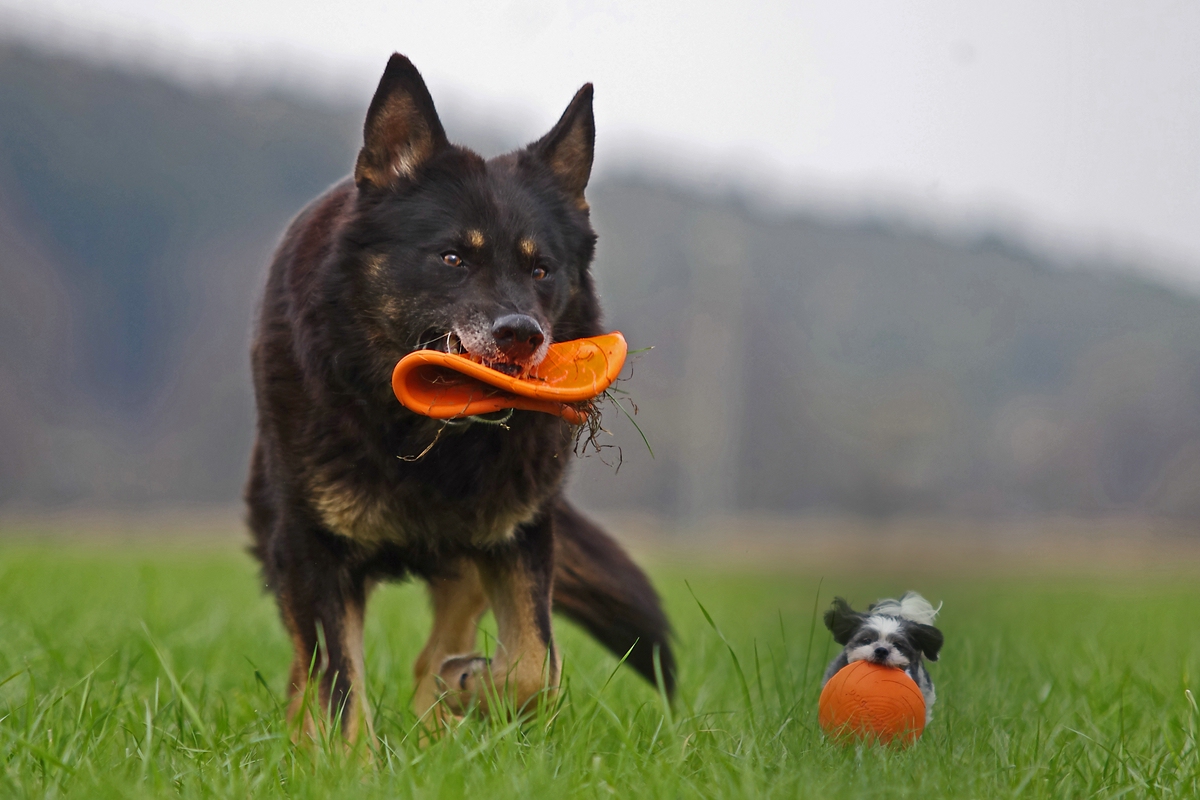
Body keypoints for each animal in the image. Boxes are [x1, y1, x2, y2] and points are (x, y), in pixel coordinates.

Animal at [243, 51, 676, 738]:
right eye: (452, 258)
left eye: (541, 269)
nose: (522, 336)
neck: (426, 441)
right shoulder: (316, 547)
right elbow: (340, 684)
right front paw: (348, 756)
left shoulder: (518, 535)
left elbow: (535, 667)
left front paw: (472, 689)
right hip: (285, 536)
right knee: (304, 665)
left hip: (467, 557)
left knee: (435, 653)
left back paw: (442, 716)